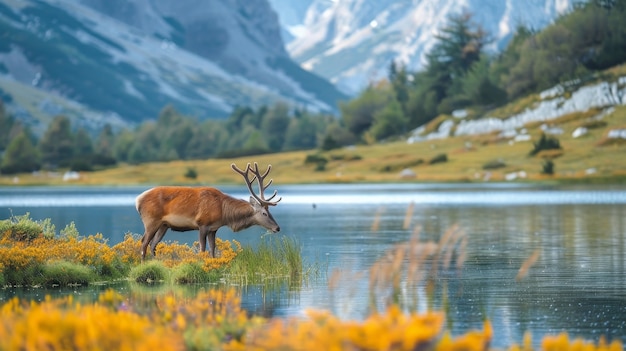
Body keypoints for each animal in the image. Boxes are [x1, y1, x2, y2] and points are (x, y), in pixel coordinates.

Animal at [137, 163, 282, 262]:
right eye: (264, 213)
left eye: (269, 211)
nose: (277, 228)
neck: (223, 212)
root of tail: (138, 200)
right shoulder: (202, 224)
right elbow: (202, 249)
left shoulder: (213, 228)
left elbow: (213, 249)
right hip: (151, 220)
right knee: (144, 242)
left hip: (163, 225)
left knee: (153, 244)